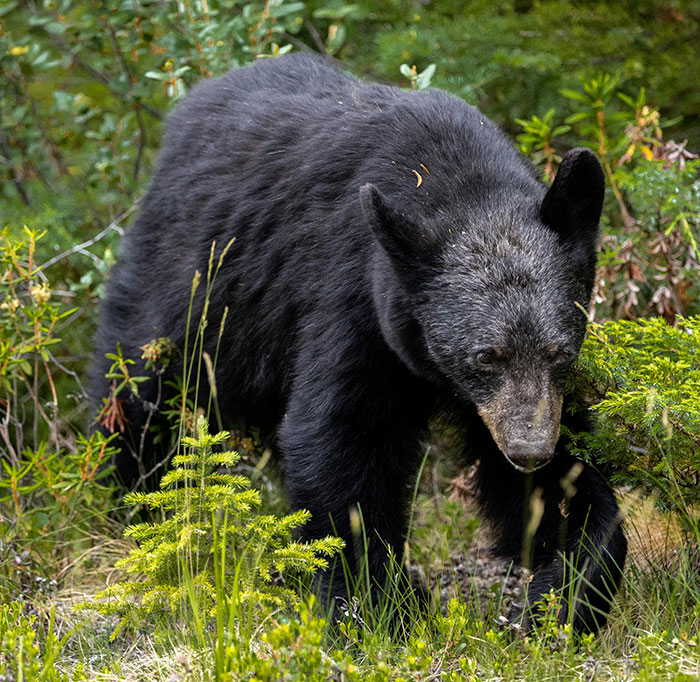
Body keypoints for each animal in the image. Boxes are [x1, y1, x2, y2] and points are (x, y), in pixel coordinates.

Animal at [92, 53, 626, 633]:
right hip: (190, 286)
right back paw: (134, 503)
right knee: (137, 390)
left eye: (560, 352)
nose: (529, 451)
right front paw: (376, 605)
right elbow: (342, 436)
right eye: (486, 356)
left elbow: (560, 481)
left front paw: (564, 590)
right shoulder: (354, 297)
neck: (455, 181)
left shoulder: (521, 399)